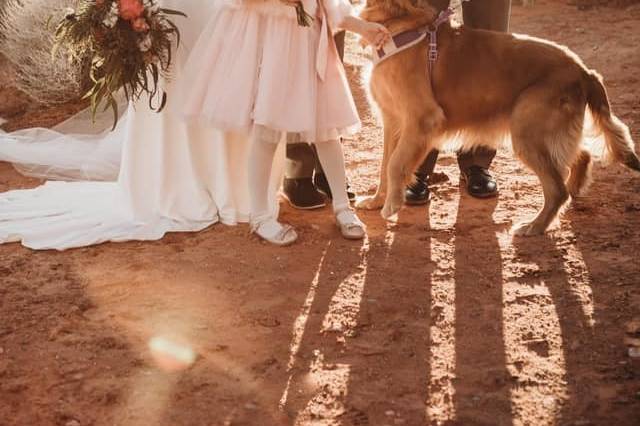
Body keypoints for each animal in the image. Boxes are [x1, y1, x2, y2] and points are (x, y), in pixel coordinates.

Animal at [358, 0, 636, 235]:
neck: (397, 18)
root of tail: (583, 70)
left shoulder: (422, 118)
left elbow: (395, 164)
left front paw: (391, 205)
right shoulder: (393, 121)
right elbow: (384, 165)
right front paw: (376, 200)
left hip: (526, 131)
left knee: (557, 189)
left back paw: (535, 226)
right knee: (581, 155)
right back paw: (575, 188)